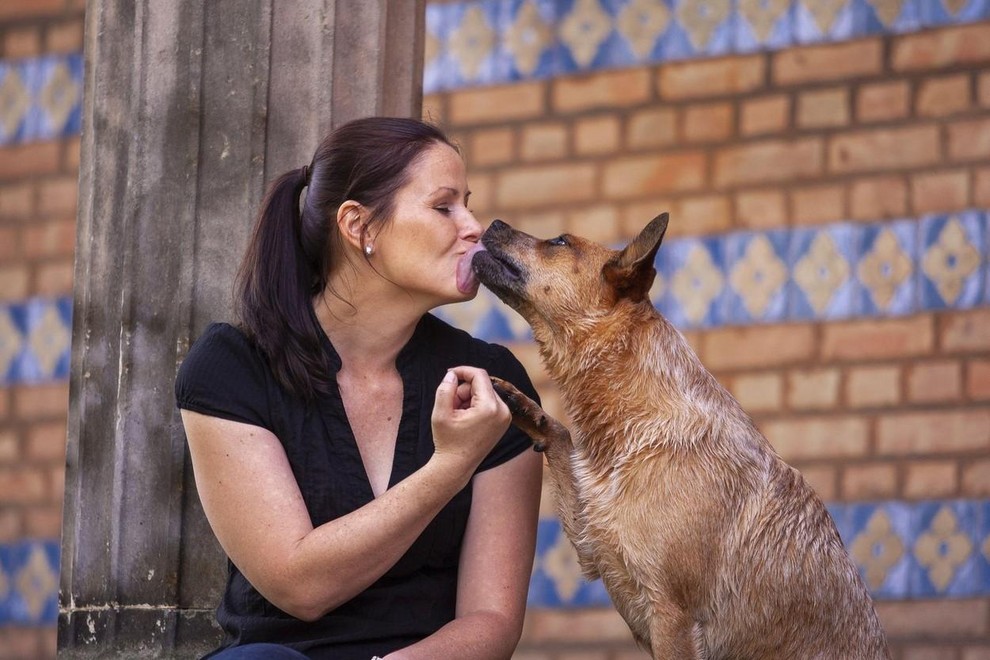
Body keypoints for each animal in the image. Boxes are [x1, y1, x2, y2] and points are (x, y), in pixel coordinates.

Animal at [472, 214, 892, 656]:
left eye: (559, 242)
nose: (494, 221)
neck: (635, 430)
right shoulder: (594, 545)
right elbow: (560, 437)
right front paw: (521, 404)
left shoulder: (673, 615)